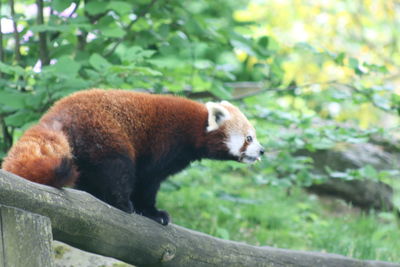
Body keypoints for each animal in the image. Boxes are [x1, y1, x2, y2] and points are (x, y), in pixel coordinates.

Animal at [1, 90, 264, 226]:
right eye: (249, 138)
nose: (261, 151)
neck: (195, 126)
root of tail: (57, 113)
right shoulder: (164, 142)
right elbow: (147, 180)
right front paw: (152, 212)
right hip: (104, 133)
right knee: (117, 167)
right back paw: (121, 203)